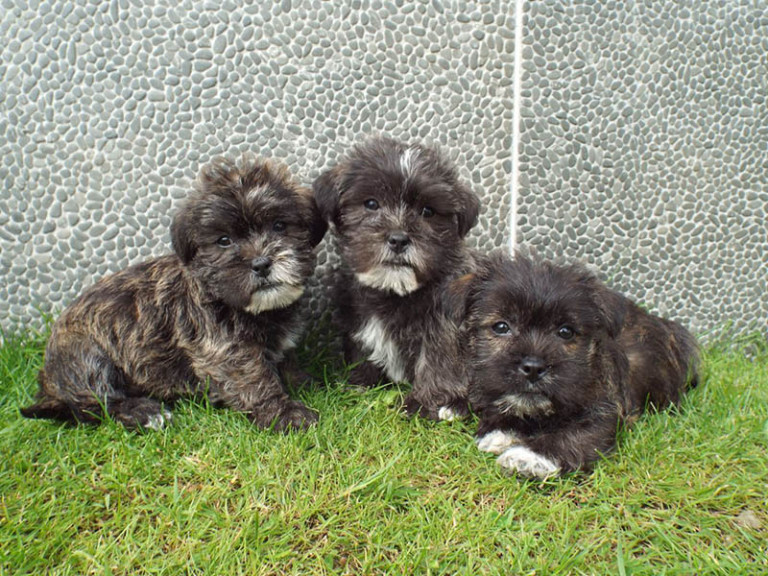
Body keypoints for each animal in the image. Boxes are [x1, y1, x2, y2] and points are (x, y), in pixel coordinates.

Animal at [21, 156, 328, 432]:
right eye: (224, 240)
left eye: (280, 226)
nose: (262, 263)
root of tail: (48, 383)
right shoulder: (225, 349)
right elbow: (254, 380)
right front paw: (285, 414)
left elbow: (285, 361)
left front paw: (305, 381)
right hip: (87, 355)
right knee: (95, 405)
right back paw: (146, 413)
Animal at [312, 137, 480, 420]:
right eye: (371, 204)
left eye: (427, 211)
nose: (399, 239)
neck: (394, 290)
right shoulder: (359, 319)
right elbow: (362, 351)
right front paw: (359, 383)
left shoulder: (443, 329)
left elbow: (437, 363)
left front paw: (423, 404)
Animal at [452, 252, 700, 476]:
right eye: (501, 327)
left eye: (566, 332)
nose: (533, 368)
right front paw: (501, 428)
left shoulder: (604, 415)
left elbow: (572, 436)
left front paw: (529, 456)